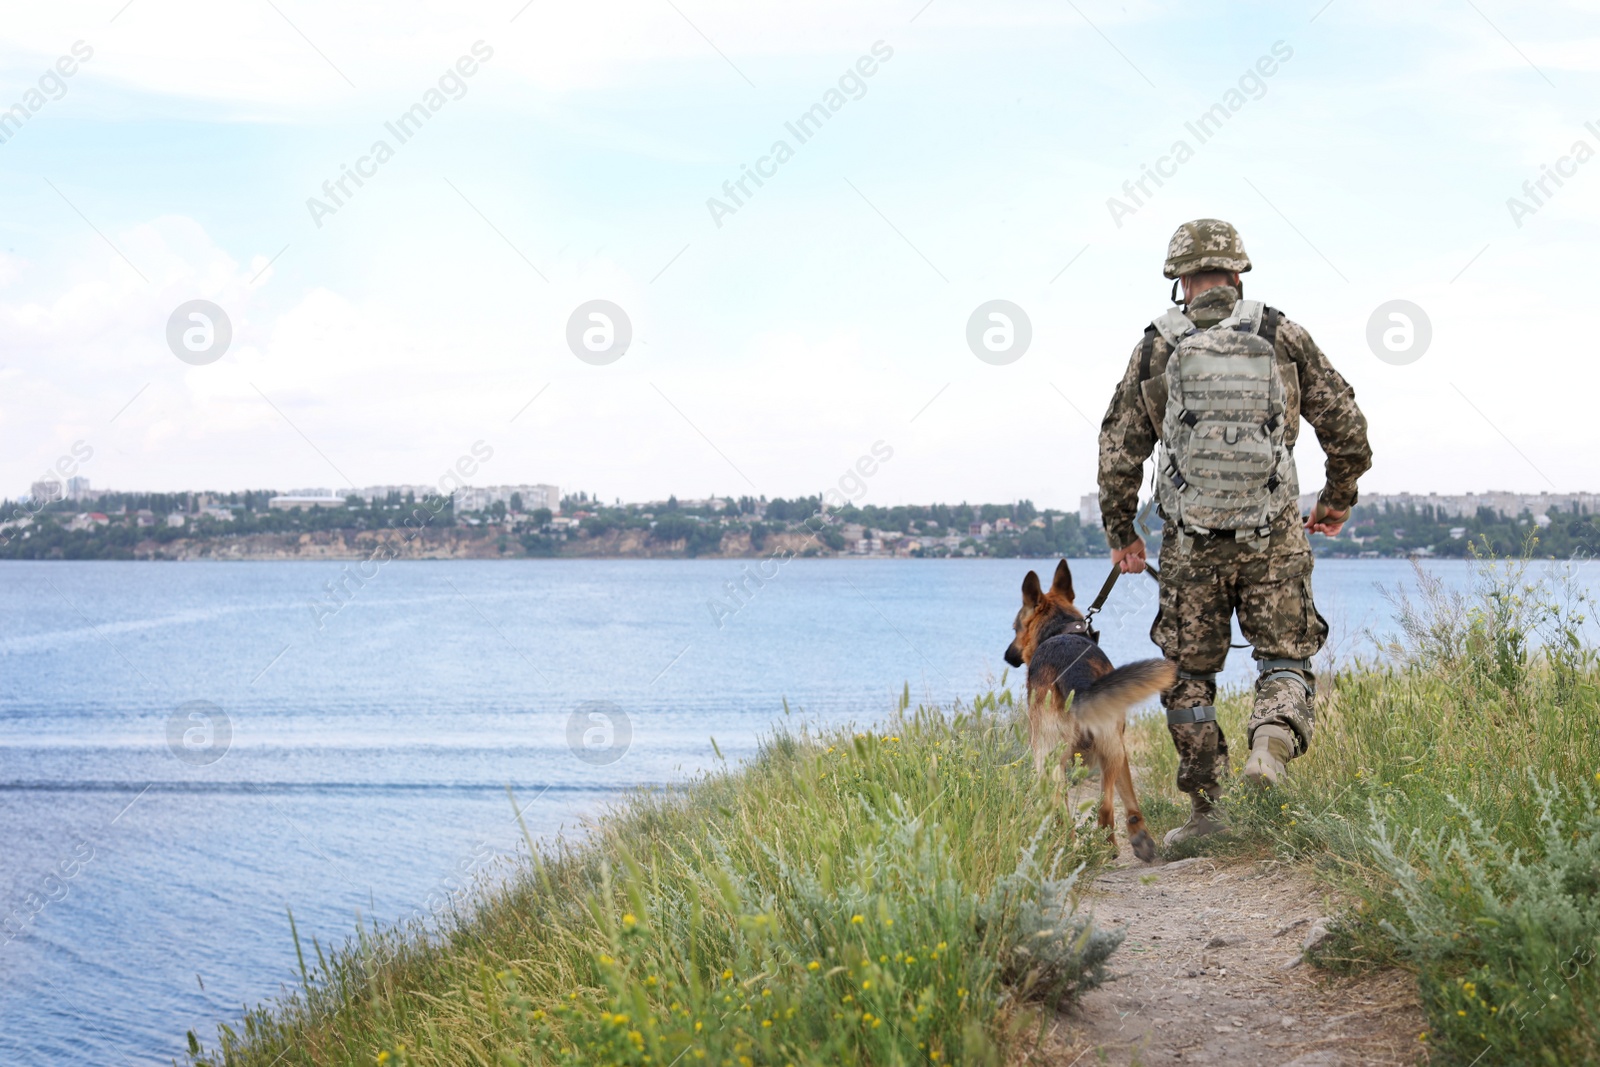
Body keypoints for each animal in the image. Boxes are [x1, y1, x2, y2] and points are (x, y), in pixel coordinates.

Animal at [1004, 563, 1171, 863]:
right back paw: (1113, 846)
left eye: (1015, 627)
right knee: (1105, 806)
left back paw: (1069, 850)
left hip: (1050, 759)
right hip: (1111, 749)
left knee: (1066, 811)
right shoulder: (1122, 752)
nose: (1007, 655)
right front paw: (1140, 836)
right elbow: (1129, 799)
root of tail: (1074, 675)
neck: (1061, 630)